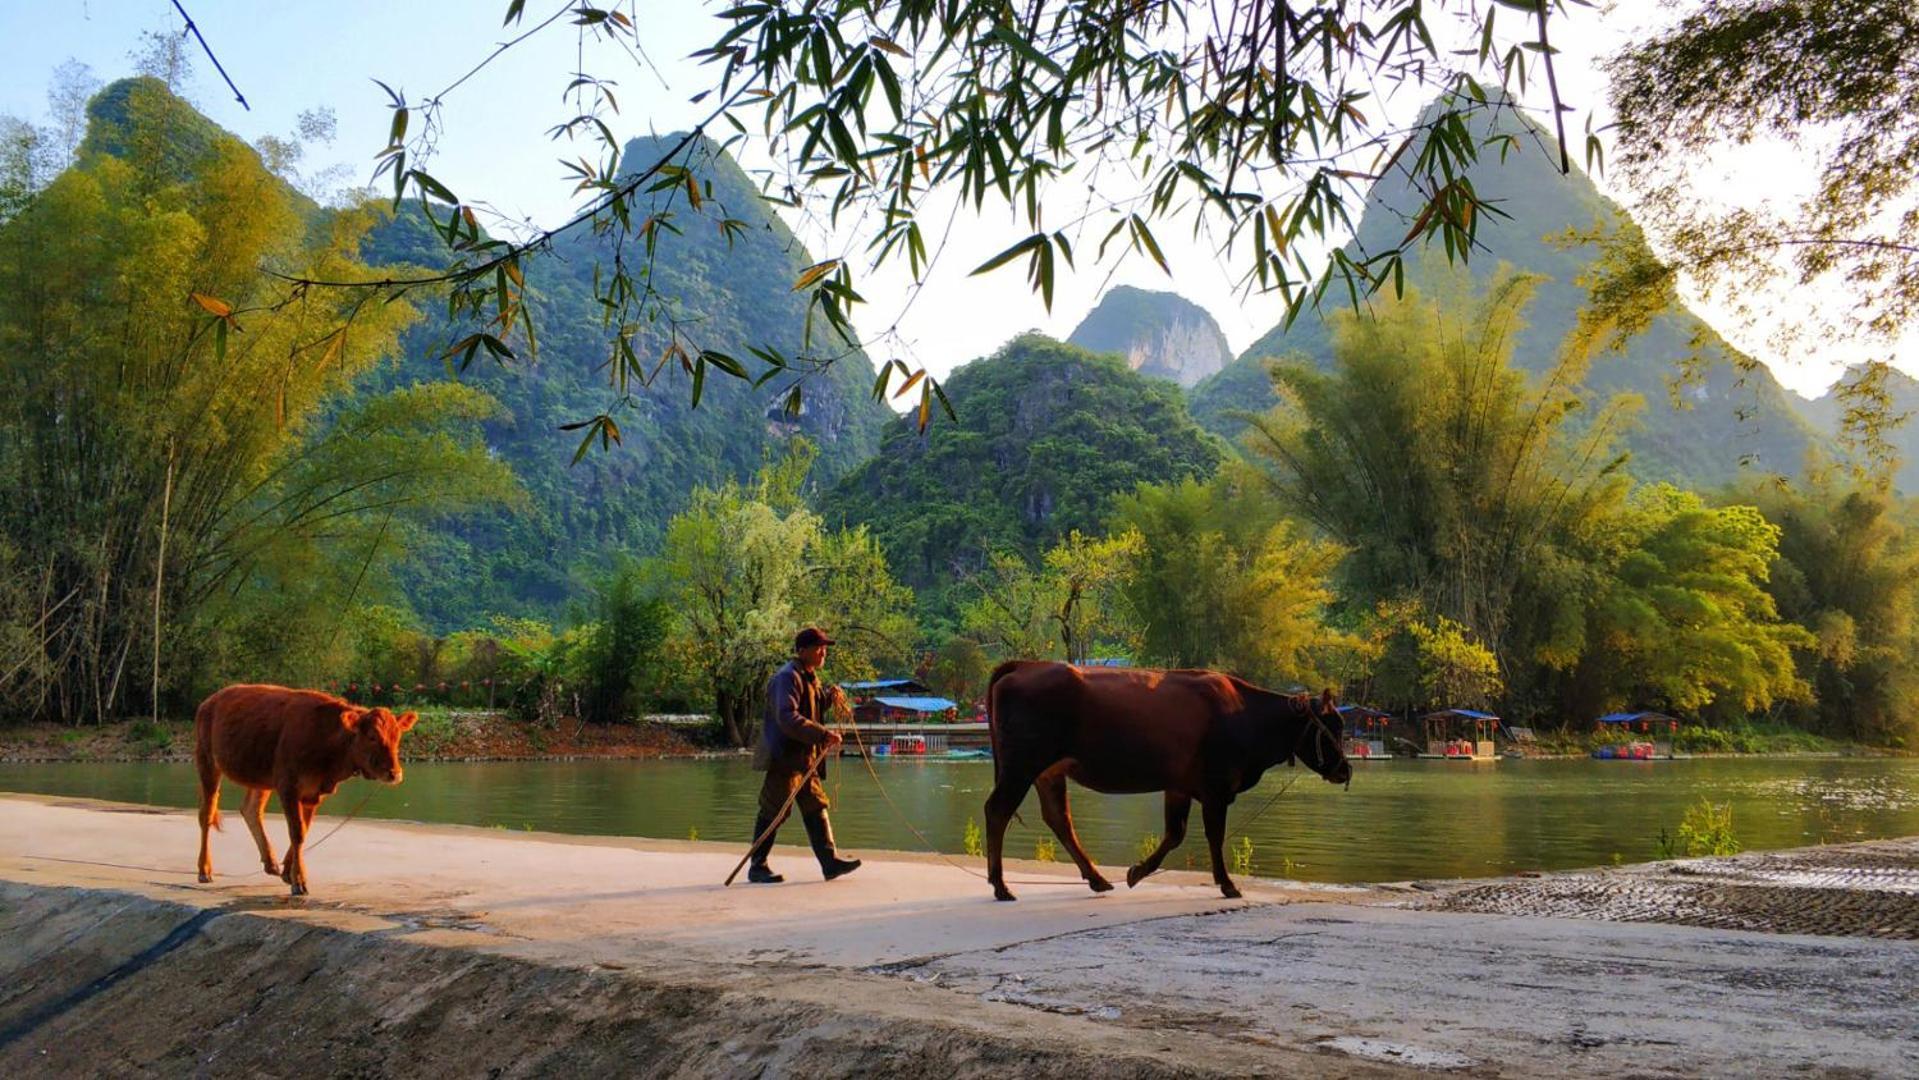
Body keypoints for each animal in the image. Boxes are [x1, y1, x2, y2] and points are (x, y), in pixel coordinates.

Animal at [194, 682, 416, 897]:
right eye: (372, 737)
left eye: (397, 737)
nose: (394, 773)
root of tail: (211, 699)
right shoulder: (288, 786)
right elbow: (297, 831)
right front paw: (299, 880)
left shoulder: (313, 792)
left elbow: (304, 829)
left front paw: (288, 872)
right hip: (207, 760)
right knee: (207, 814)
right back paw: (204, 870)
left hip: (262, 776)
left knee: (251, 809)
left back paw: (271, 862)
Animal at [990, 659, 1350, 905]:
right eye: (1335, 724)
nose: (1345, 771)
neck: (1246, 714)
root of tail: (1026, 665)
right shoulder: (1217, 789)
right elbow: (1214, 837)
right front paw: (1227, 884)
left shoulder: (1179, 787)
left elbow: (1174, 834)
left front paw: (1136, 872)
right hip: (1021, 767)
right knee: (998, 811)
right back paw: (1001, 886)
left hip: (1048, 772)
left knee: (1059, 819)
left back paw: (1097, 879)